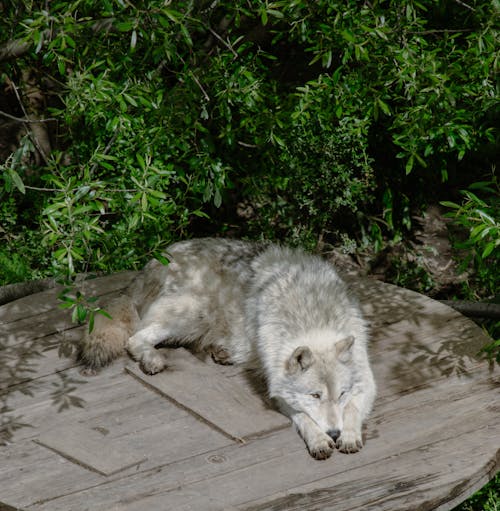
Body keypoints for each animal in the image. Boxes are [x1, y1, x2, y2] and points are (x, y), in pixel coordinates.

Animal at [78, 239, 376, 460]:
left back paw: (222, 352)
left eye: (341, 393)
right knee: (135, 338)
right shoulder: (279, 390)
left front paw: (349, 435)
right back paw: (153, 359)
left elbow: (352, 409)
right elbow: (304, 416)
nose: (334, 433)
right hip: (192, 312)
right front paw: (320, 440)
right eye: (314, 395)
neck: (313, 318)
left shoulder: (366, 380)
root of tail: (155, 260)